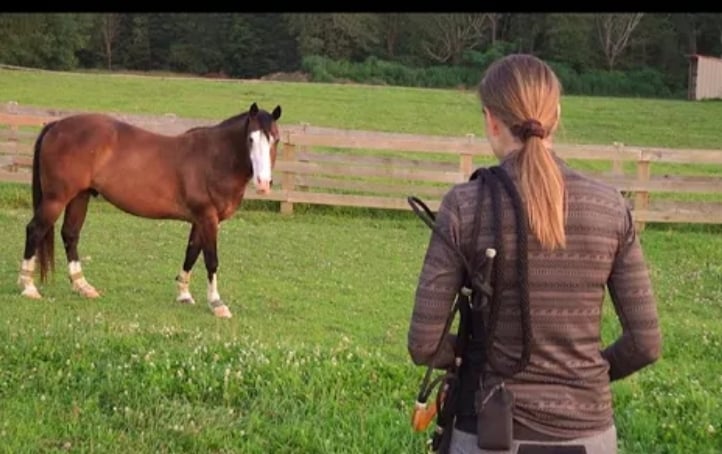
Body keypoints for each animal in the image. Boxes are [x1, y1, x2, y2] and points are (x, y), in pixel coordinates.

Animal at [17, 102, 282, 319]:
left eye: (275, 139)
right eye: (250, 139)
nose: (263, 183)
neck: (215, 159)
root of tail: (57, 125)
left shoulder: (200, 220)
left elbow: (191, 253)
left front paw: (184, 294)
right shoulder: (208, 218)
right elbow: (211, 260)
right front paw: (217, 304)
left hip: (80, 197)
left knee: (70, 235)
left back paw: (82, 286)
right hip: (56, 198)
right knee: (35, 230)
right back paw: (28, 286)